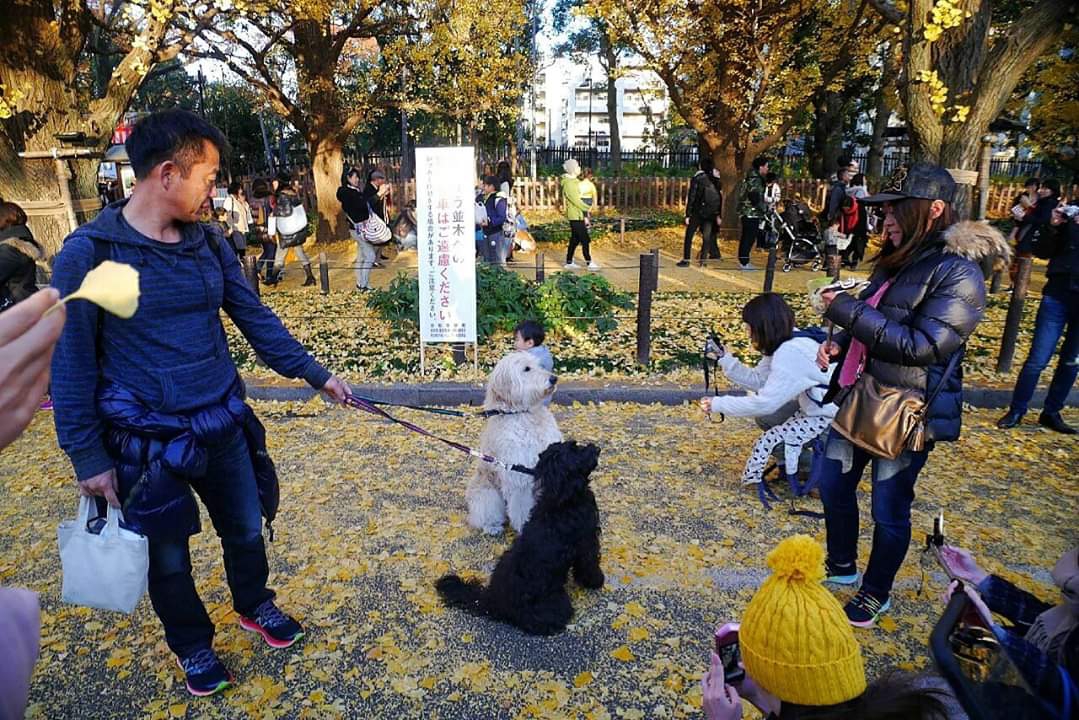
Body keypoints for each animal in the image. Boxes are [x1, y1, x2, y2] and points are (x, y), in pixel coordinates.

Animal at [438, 440, 608, 634]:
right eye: (575, 448)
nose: (596, 448)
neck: (562, 500)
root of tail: (491, 601)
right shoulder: (587, 543)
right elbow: (590, 564)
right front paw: (596, 581)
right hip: (556, 604)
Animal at [466, 349, 561, 535]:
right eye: (526, 369)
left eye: (539, 365)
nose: (554, 379)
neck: (523, 414)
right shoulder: (518, 476)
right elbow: (522, 507)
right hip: (486, 494)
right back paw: (492, 526)